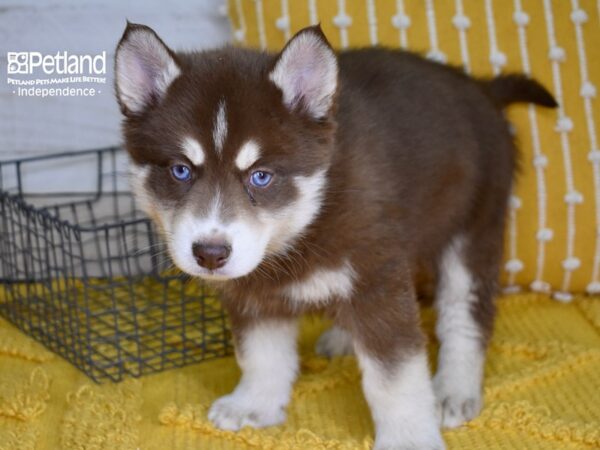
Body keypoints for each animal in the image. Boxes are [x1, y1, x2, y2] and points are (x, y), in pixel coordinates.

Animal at [115, 22, 556, 450]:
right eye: (180, 170)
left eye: (261, 176)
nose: (210, 253)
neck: (309, 217)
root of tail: (481, 87)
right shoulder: (255, 294)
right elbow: (261, 355)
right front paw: (254, 404)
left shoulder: (378, 279)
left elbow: (395, 377)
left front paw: (409, 437)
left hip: (473, 226)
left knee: (464, 314)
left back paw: (454, 388)